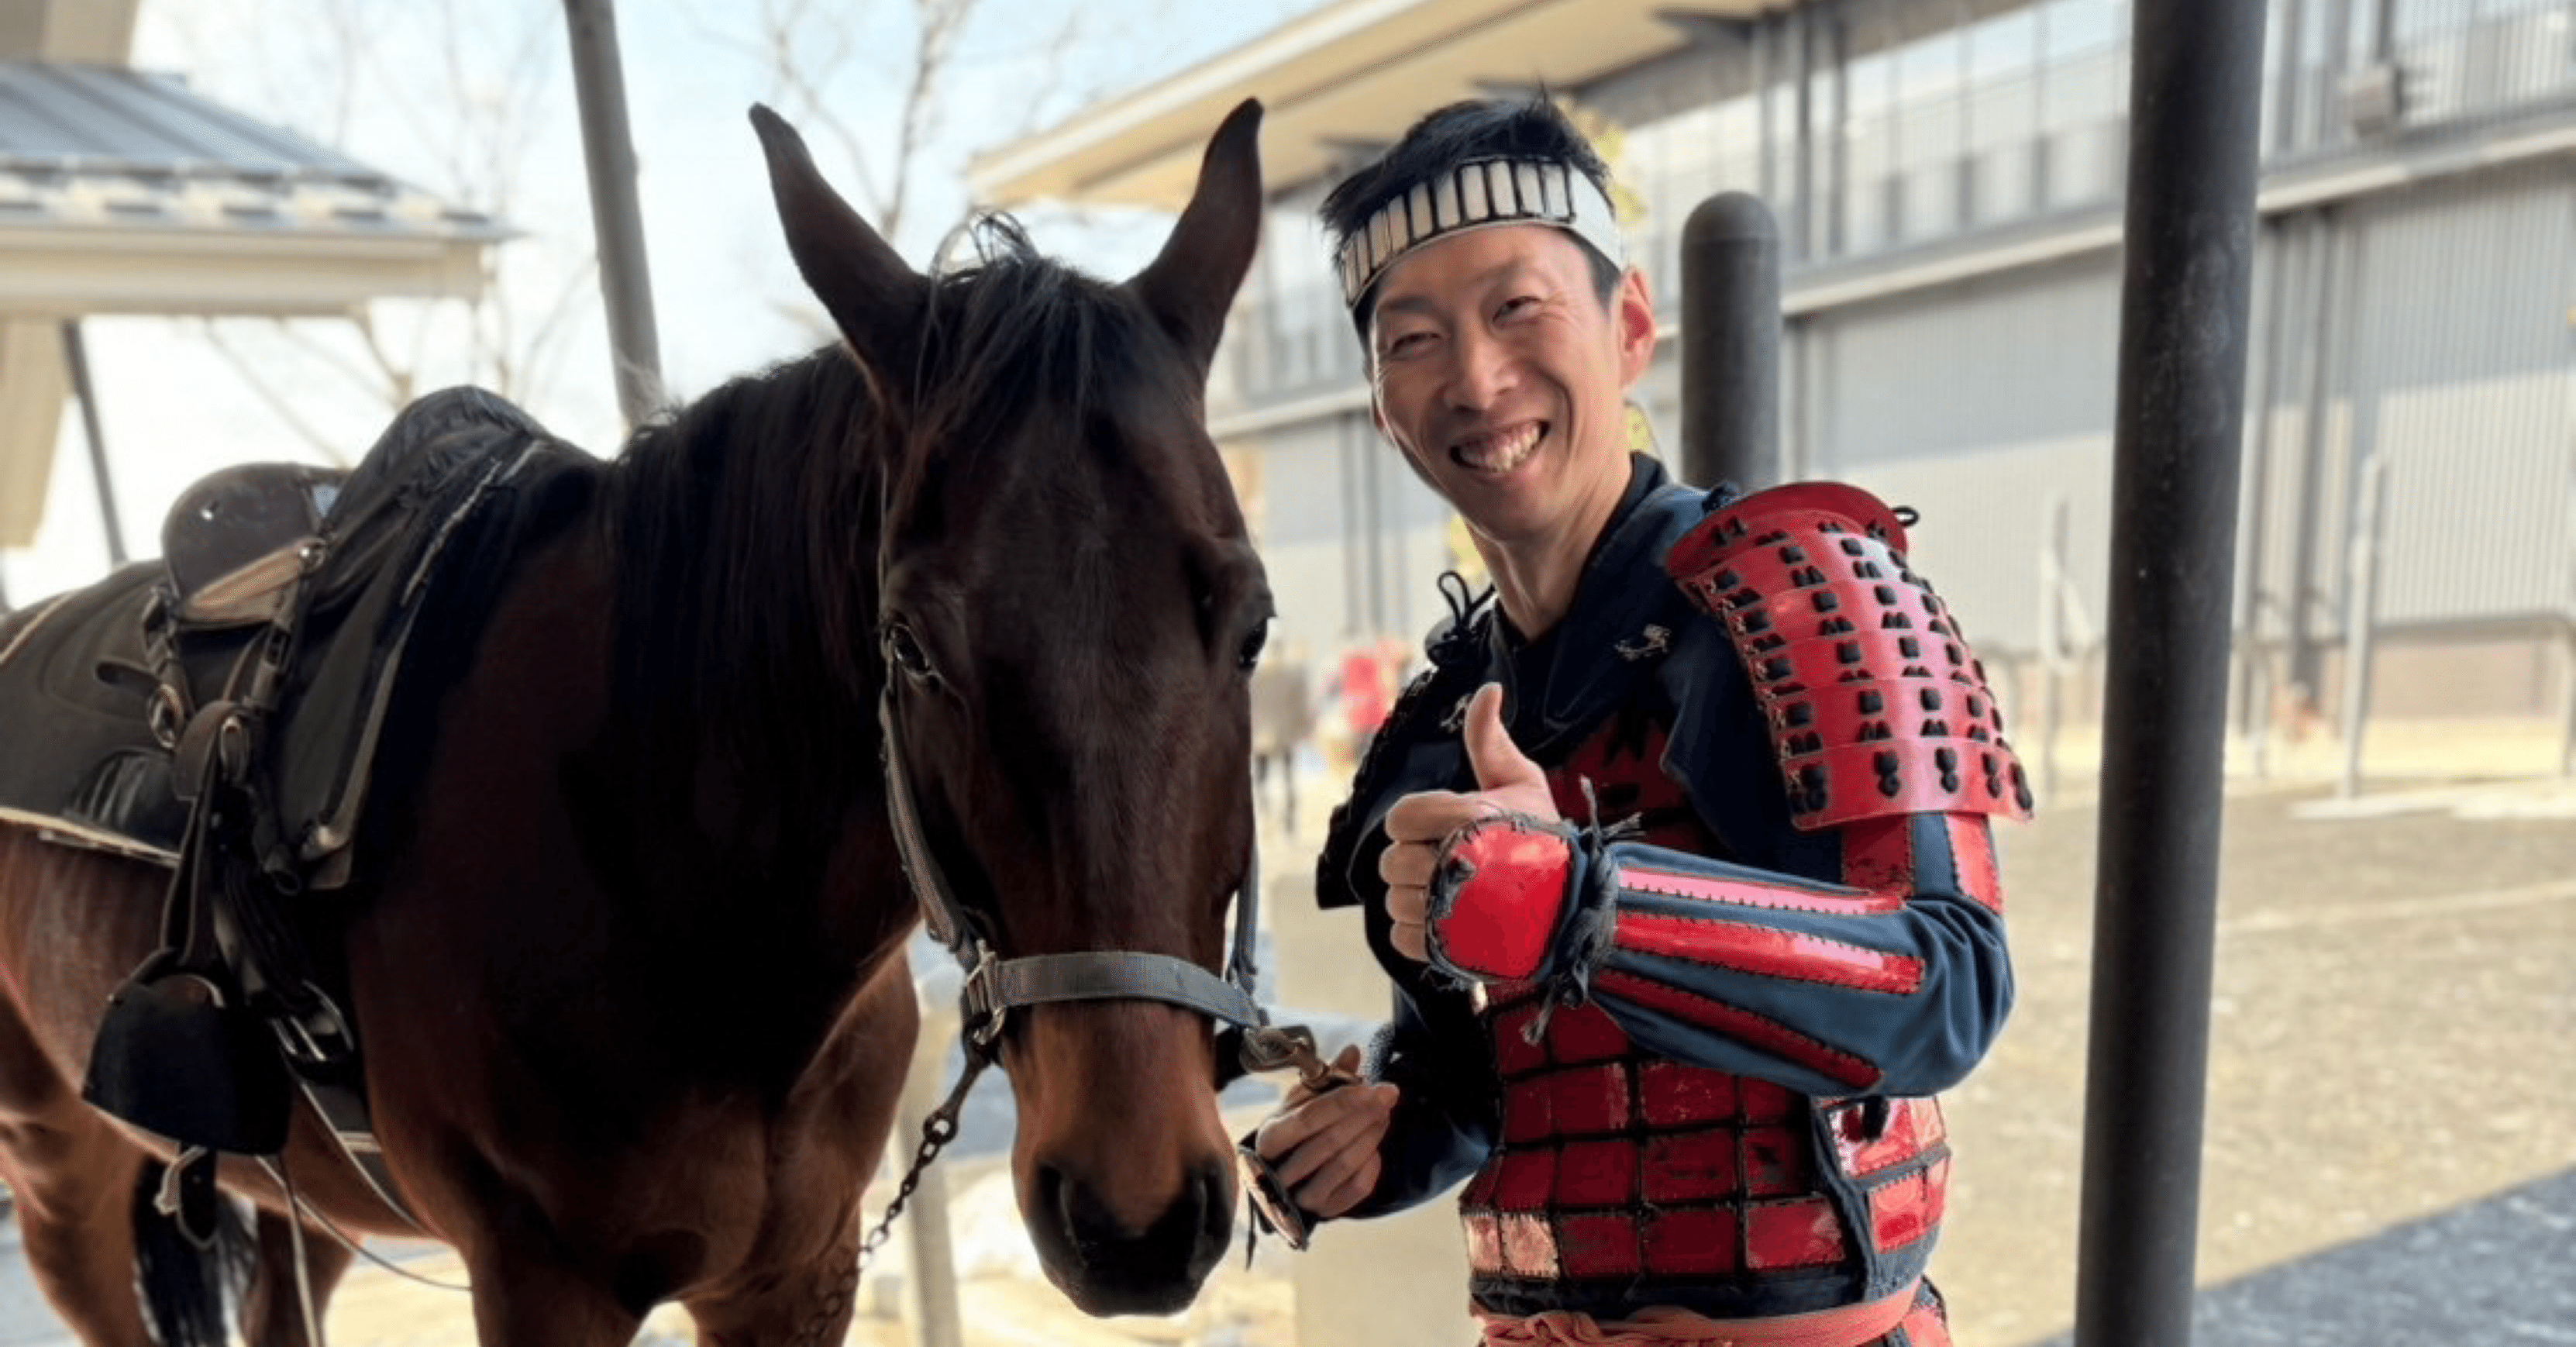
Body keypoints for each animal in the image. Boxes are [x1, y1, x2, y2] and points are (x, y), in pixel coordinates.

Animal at [0, 97, 1271, 1345]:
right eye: (909, 645)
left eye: (1254, 625)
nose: (1136, 1215)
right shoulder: (542, 1286)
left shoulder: (796, 1278)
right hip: (60, 1176)